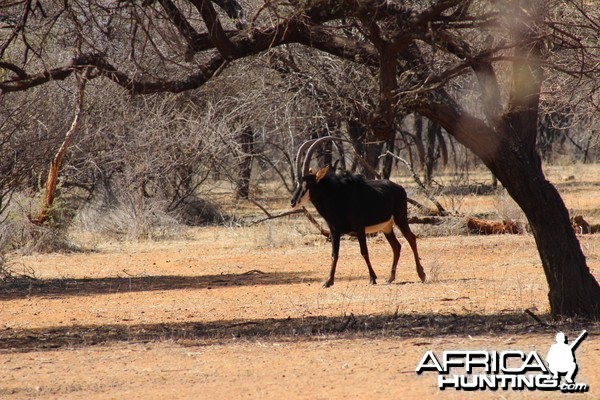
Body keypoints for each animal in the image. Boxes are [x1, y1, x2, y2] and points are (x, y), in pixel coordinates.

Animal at [290, 138, 426, 288]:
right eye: (298, 182)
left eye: (308, 184)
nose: (293, 202)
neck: (336, 196)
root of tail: (400, 188)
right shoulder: (334, 230)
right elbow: (334, 254)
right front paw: (328, 281)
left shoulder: (359, 228)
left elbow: (364, 252)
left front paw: (372, 278)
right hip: (386, 227)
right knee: (396, 246)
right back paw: (390, 277)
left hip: (400, 219)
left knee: (411, 239)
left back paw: (421, 274)